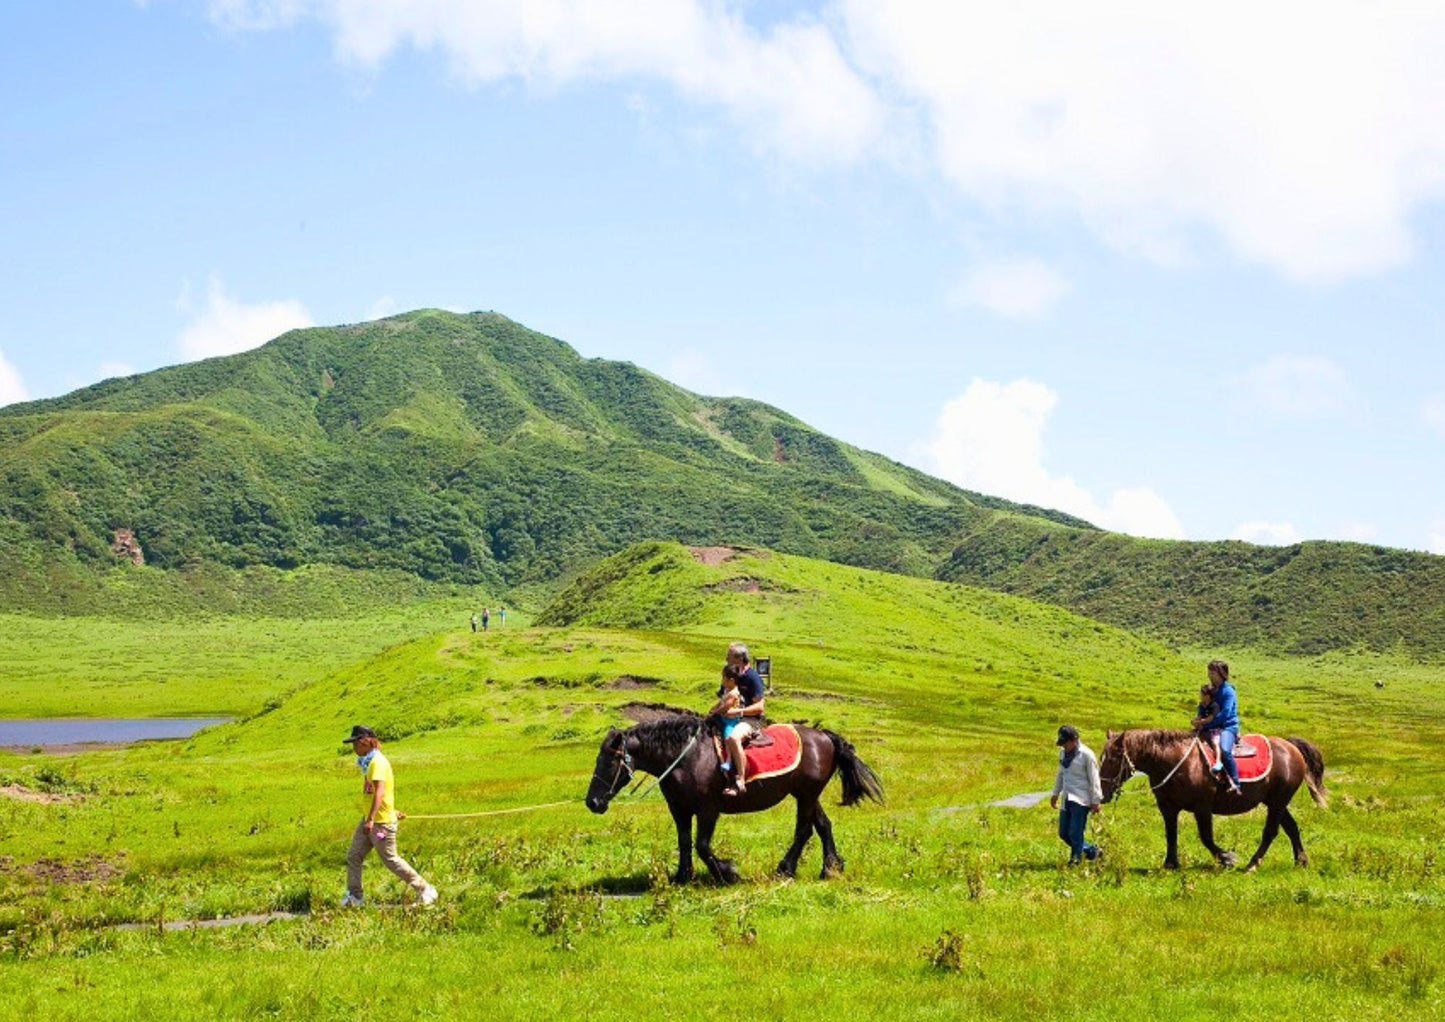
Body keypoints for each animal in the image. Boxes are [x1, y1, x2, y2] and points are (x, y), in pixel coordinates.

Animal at [583, 711, 878, 884]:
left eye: (609, 762)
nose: (592, 803)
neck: (686, 757)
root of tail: (824, 736)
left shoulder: (708, 809)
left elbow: (702, 845)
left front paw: (727, 873)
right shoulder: (679, 809)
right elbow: (685, 841)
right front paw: (682, 876)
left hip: (805, 795)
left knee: (803, 830)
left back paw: (785, 868)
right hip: (806, 794)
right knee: (823, 825)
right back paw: (829, 868)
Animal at [1098, 728, 1323, 873]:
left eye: (1113, 759)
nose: (1102, 793)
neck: (1174, 761)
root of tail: (1291, 746)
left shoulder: (1202, 807)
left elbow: (1206, 837)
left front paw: (1228, 859)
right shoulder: (1167, 807)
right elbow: (1171, 834)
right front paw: (1170, 864)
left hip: (1277, 803)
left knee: (1270, 832)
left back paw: (1252, 864)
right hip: (1276, 802)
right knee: (1291, 828)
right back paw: (1301, 861)